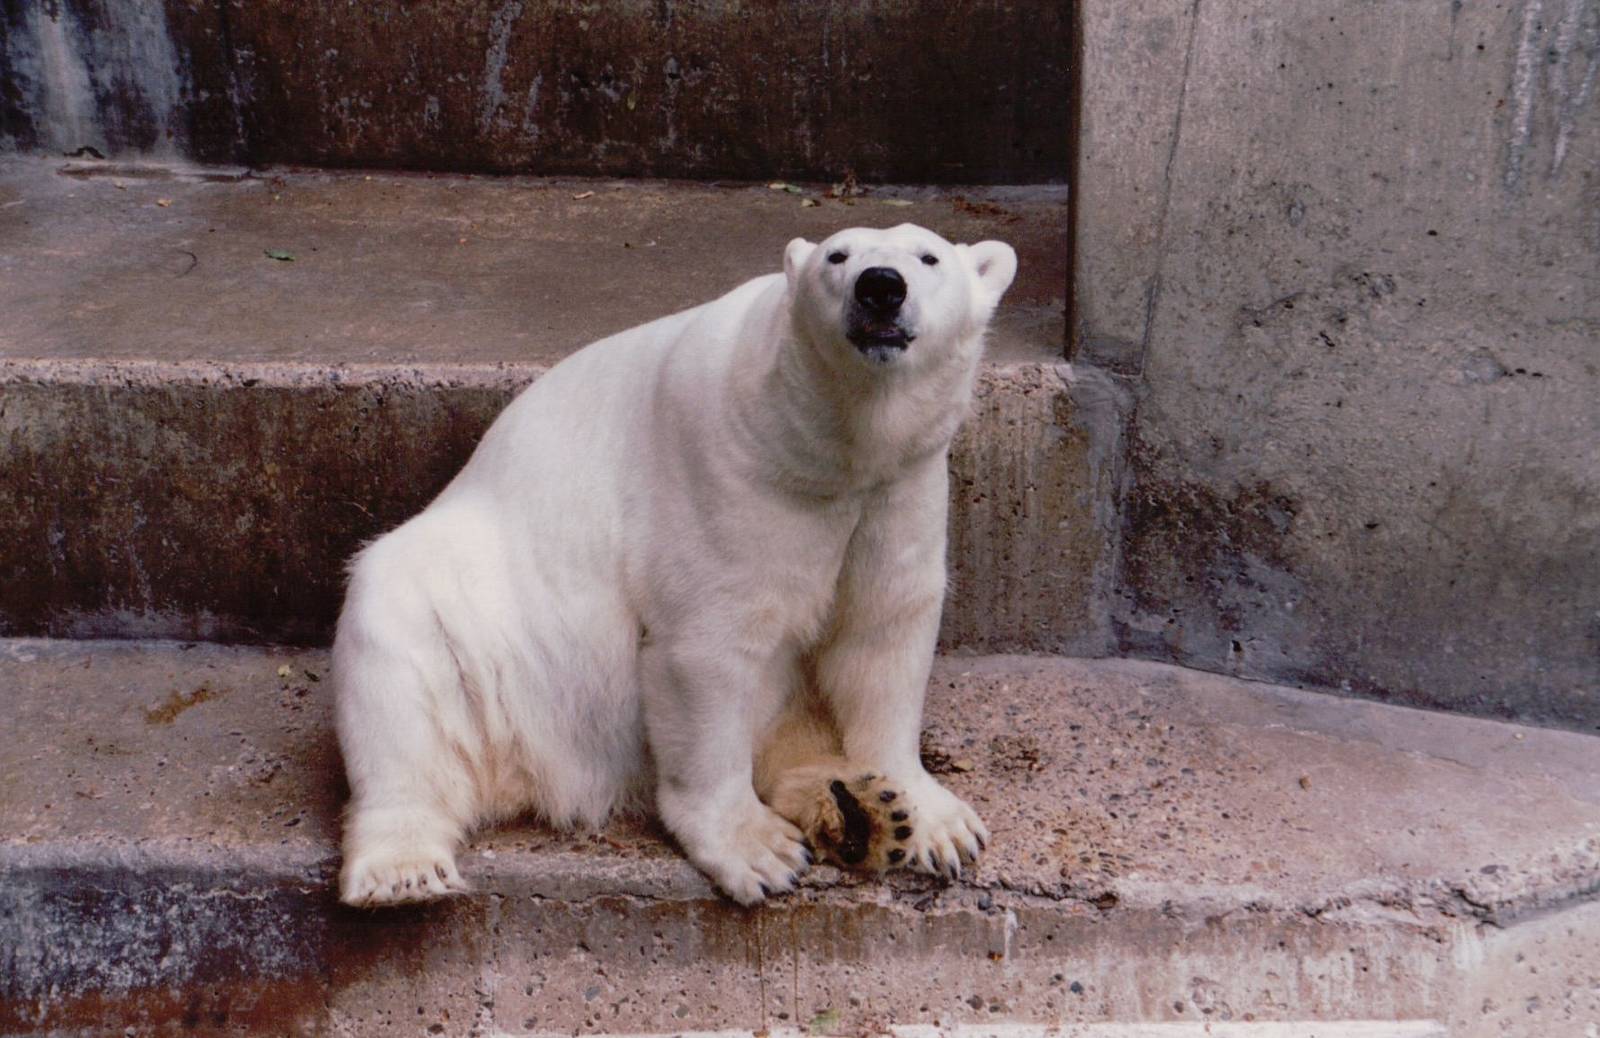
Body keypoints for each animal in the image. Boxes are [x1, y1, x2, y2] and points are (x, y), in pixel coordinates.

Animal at [333, 223, 1017, 906]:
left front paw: (935, 821)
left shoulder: (900, 488)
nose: (880, 287)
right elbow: (709, 648)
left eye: (929, 257)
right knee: (399, 681)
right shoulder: (730, 474)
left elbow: (883, 634)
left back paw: (863, 810)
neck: (832, 449)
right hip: (477, 631)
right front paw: (759, 851)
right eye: (838, 256)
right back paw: (404, 868)